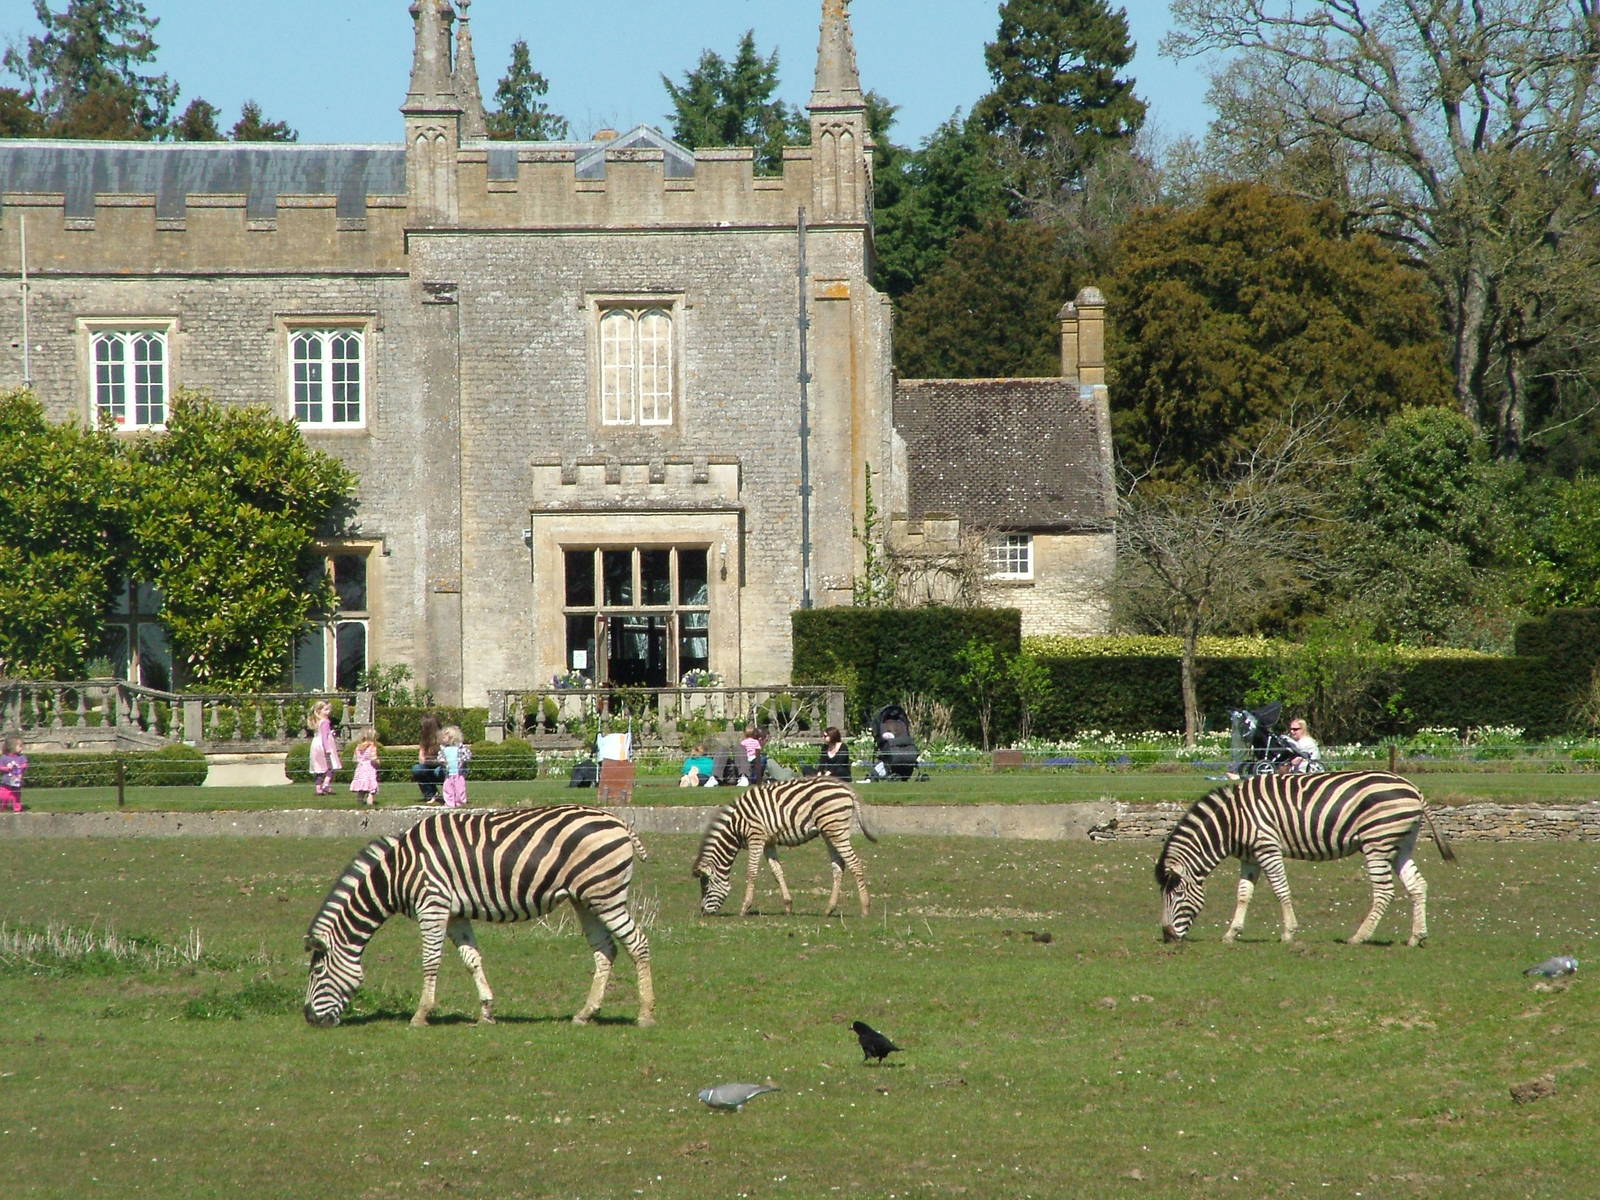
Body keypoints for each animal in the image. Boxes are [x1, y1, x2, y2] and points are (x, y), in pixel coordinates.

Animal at [304, 805, 655, 1028]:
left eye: (317, 972)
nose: (310, 1019)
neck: (397, 872)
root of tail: (618, 821)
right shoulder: (454, 913)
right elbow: (471, 959)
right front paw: (486, 1012)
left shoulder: (432, 905)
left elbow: (430, 961)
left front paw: (420, 1015)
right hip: (586, 898)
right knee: (605, 950)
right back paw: (585, 1013)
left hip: (606, 895)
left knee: (638, 943)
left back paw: (645, 1015)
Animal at [692, 777, 877, 916]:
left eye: (706, 887)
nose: (703, 912)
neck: (736, 826)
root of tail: (845, 787)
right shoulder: (768, 842)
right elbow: (777, 871)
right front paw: (788, 905)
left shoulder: (756, 837)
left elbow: (751, 872)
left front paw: (745, 907)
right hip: (829, 831)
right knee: (839, 865)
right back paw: (829, 909)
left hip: (836, 828)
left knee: (855, 863)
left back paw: (865, 908)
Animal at [1155, 770, 1455, 946]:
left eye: (1177, 894)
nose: (1167, 937)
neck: (1232, 822)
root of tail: (1414, 788)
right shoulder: (1250, 857)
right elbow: (1243, 894)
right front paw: (1232, 933)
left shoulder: (1267, 847)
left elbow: (1280, 889)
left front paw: (1289, 933)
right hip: (1401, 844)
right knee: (1417, 885)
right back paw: (1416, 937)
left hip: (1377, 842)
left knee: (1384, 892)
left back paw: (1359, 937)